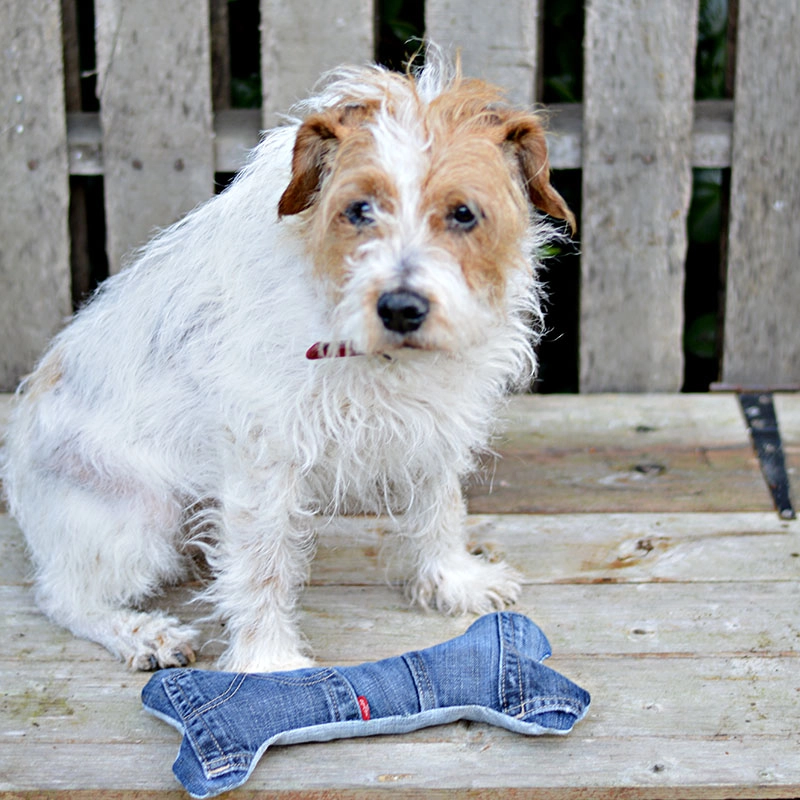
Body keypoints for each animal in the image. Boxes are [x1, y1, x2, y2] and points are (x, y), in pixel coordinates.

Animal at [1, 48, 576, 676]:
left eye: (464, 214)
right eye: (359, 209)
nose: (400, 308)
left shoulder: (433, 424)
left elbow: (441, 506)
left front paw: (453, 580)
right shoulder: (263, 457)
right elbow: (263, 568)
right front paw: (268, 665)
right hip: (138, 520)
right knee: (61, 595)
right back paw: (141, 632)